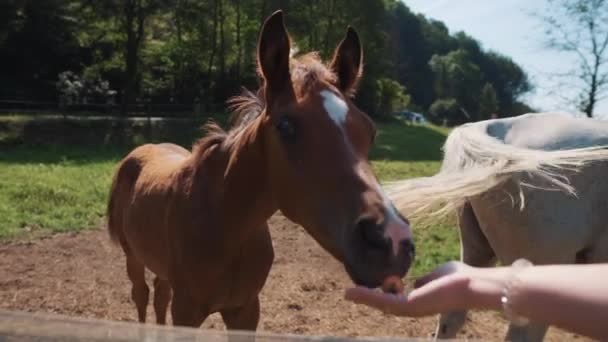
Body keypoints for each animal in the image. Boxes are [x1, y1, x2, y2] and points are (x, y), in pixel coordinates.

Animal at [107, 10, 416, 332]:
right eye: (285, 126)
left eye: (370, 131)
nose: (392, 240)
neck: (224, 224)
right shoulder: (186, 311)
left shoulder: (246, 310)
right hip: (133, 257)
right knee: (142, 295)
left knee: (159, 294)